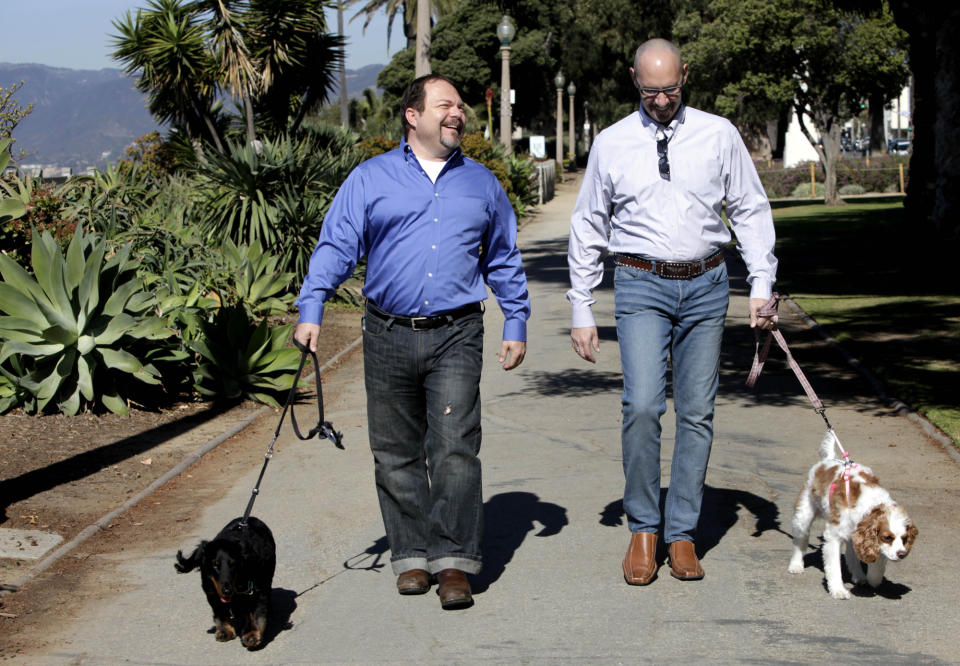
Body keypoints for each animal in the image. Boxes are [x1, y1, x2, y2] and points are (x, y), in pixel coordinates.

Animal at [175, 512, 276, 648]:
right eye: (215, 565)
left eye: (233, 564)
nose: (227, 591)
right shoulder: (211, 591)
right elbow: (220, 610)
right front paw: (224, 631)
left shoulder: (256, 590)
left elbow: (254, 612)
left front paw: (252, 634)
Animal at [792, 428, 920, 600]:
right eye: (888, 537)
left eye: (905, 538)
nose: (902, 554)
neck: (870, 505)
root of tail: (827, 460)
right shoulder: (833, 536)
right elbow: (834, 567)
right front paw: (838, 590)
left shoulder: (866, 537)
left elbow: (877, 562)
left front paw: (873, 579)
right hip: (804, 515)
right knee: (800, 540)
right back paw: (796, 565)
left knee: (851, 553)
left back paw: (859, 576)